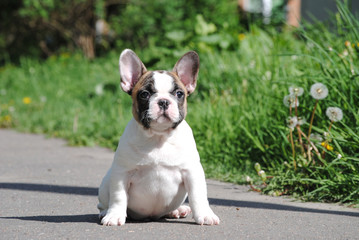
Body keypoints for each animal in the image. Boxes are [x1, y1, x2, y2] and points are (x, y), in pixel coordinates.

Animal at [97, 49, 219, 226]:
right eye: (144, 94)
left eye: (179, 93)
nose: (163, 101)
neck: (159, 137)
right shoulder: (122, 173)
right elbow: (119, 196)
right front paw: (114, 216)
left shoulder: (192, 172)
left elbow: (198, 196)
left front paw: (205, 215)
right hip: (107, 181)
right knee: (103, 203)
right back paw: (105, 212)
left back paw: (178, 210)